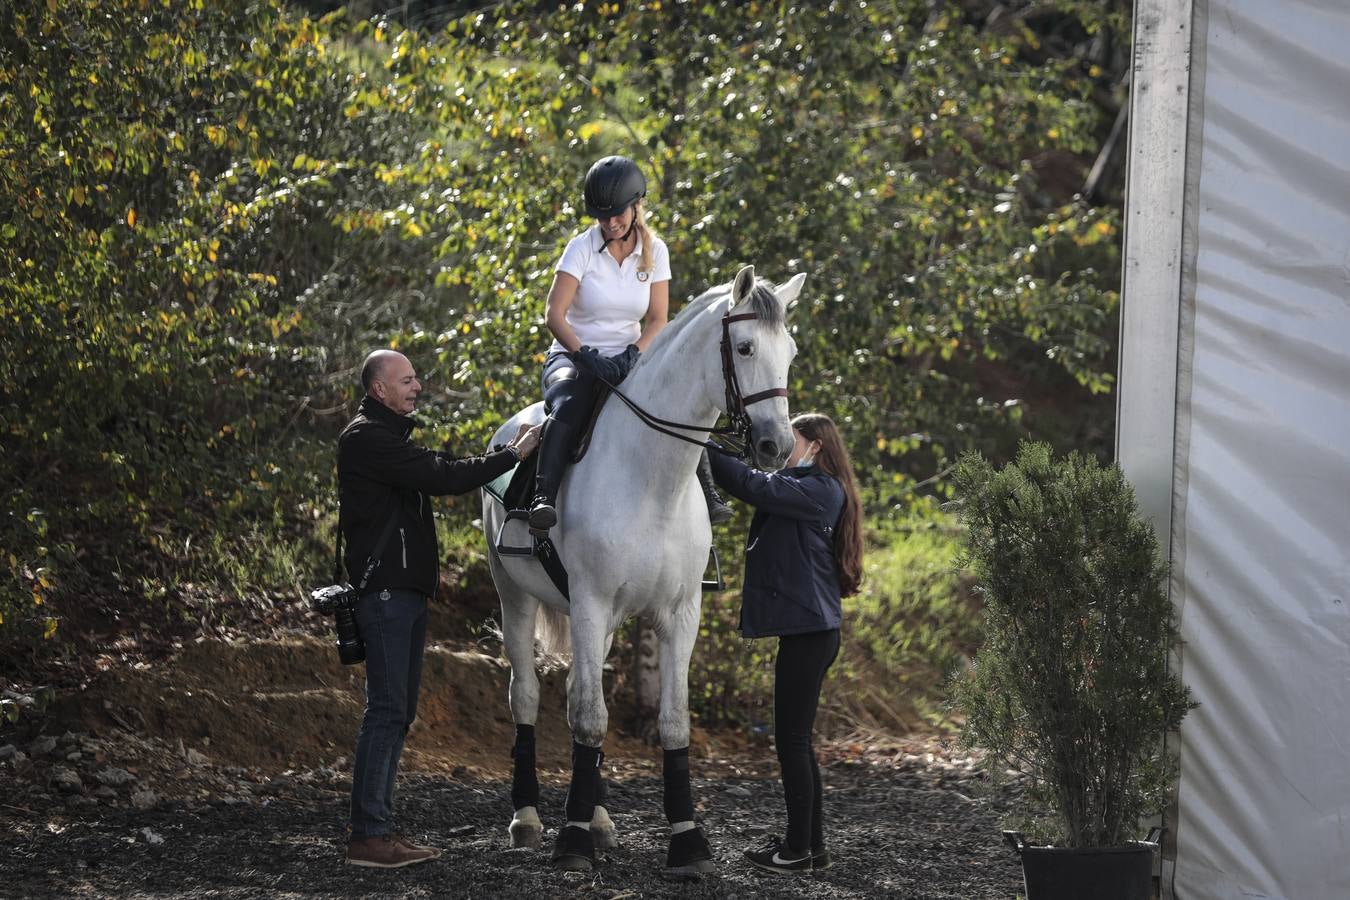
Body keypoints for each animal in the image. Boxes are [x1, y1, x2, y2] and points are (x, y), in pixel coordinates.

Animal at [486, 265, 799, 874]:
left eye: (791, 353)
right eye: (745, 347)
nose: (778, 446)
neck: (653, 478)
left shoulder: (679, 614)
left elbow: (670, 720)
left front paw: (687, 840)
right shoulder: (589, 603)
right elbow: (590, 717)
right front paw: (572, 841)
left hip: (601, 626)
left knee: (574, 694)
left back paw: (600, 819)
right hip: (516, 598)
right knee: (527, 697)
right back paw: (529, 819)